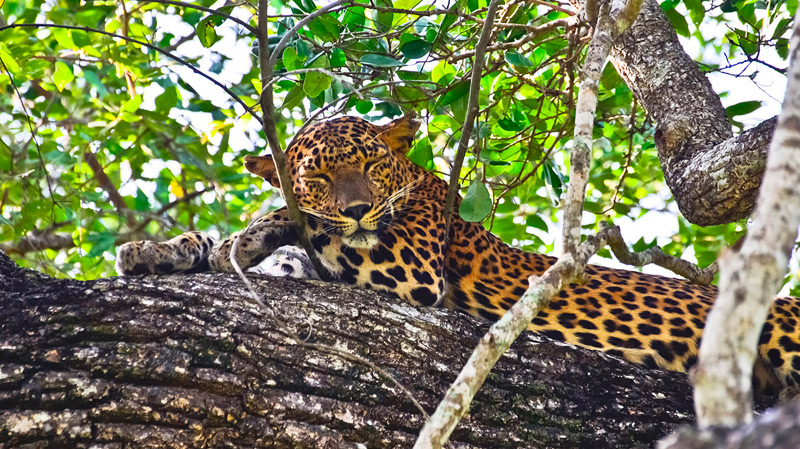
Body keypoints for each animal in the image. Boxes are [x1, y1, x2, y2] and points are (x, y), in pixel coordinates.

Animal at [115, 112, 800, 396]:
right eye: (317, 175)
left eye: (369, 166)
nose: (358, 208)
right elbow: (241, 246)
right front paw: (154, 251)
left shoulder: (410, 269)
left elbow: (304, 229)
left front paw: (258, 228)